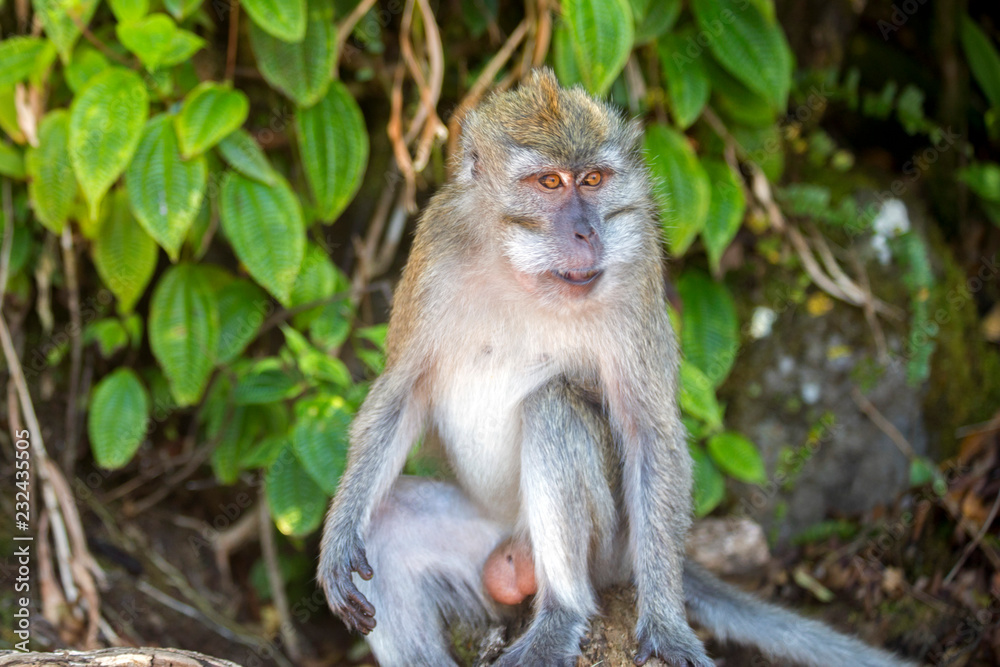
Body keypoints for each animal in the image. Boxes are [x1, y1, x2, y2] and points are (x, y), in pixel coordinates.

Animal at [320, 69, 916, 667]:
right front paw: (339, 535)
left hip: (608, 548)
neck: (520, 272)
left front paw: (666, 624)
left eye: (593, 179)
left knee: (554, 408)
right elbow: (402, 390)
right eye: (550, 182)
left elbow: (649, 430)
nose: (587, 232)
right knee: (389, 529)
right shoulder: (435, 248)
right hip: (483, 531)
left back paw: (561, 614)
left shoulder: (636, 264)